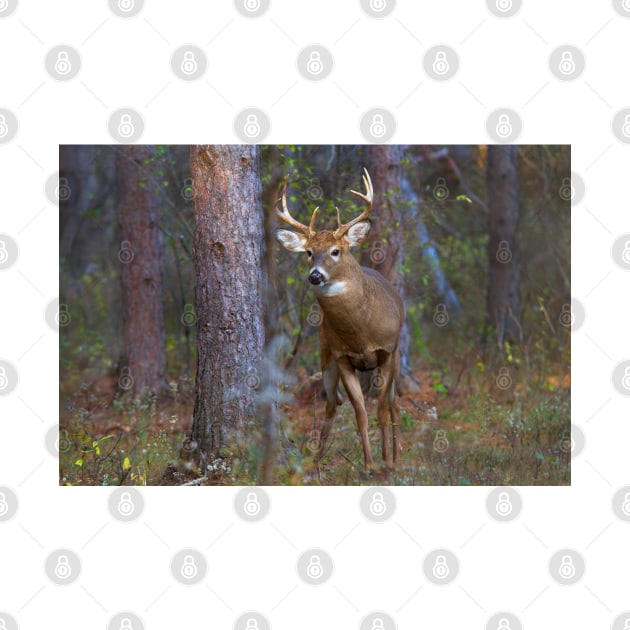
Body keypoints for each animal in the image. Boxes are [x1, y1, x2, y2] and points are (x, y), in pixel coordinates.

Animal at [276, 169, 404, 474]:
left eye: (336, 251)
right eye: (308, 252)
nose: (315, 276)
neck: (361, 332)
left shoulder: (387, 351)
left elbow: (382, 410)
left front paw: (386, 461)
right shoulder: (343, 356)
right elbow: (360, 412)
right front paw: (369, 465)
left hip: (397, 356)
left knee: (394, 404)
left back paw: (396, 456)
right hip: (326, 357)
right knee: (332, 404)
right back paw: (315, 464)